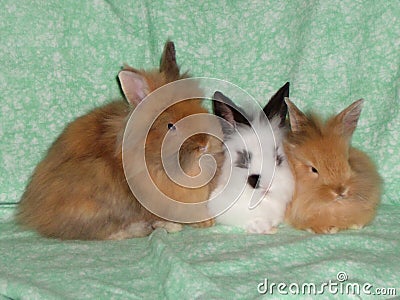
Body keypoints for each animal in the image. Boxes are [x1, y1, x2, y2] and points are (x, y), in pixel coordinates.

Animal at [17, 41, 225, 240]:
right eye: (170, 126)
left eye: (201, 108)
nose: (205, 145)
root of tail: (33, 211)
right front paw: (178, 225)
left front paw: (207, 222)